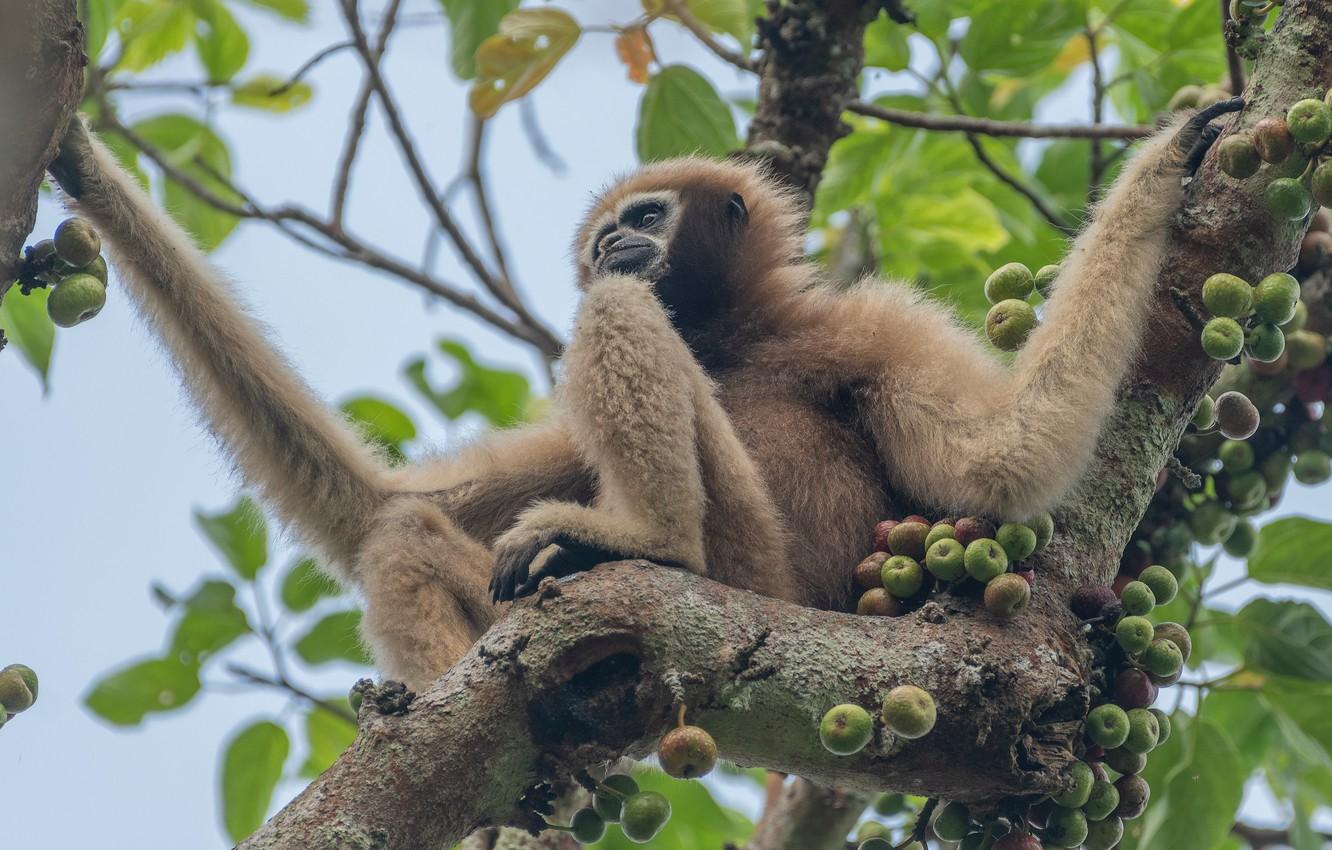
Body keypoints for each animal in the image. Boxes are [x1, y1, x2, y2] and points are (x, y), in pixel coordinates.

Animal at [47, 99, 1240, 691]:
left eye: (648, 215)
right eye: (605, 232)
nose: (613, 246)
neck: (735, 337)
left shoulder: (868, 326)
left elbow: (1009, 454)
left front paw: (1164, 166)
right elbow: (374, 502)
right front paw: (80, 161)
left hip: (753, 569)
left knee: (621, 334)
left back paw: (648, 540)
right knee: (406, 533)